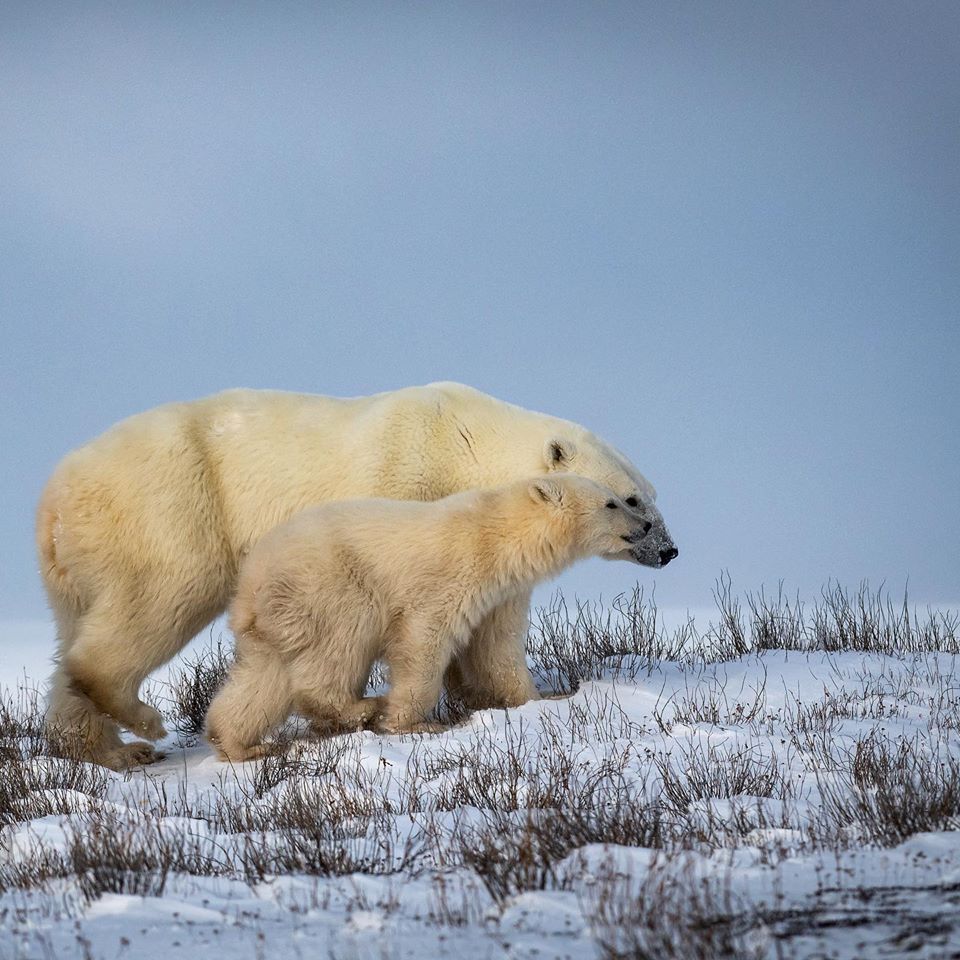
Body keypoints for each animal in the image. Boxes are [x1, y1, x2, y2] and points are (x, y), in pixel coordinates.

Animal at [205, 474, 656, 761]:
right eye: (613, 502)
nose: (646, 525)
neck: (496, 537)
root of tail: (249, 584)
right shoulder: (449, 578)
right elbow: (424, 641)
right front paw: (410, 723)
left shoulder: (501, 595)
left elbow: (498, 649)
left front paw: (543, 698)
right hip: (329, 587)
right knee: (338, 646)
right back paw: (359, 707)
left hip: (276, 620)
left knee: (263, 678)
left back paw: (240, 744)